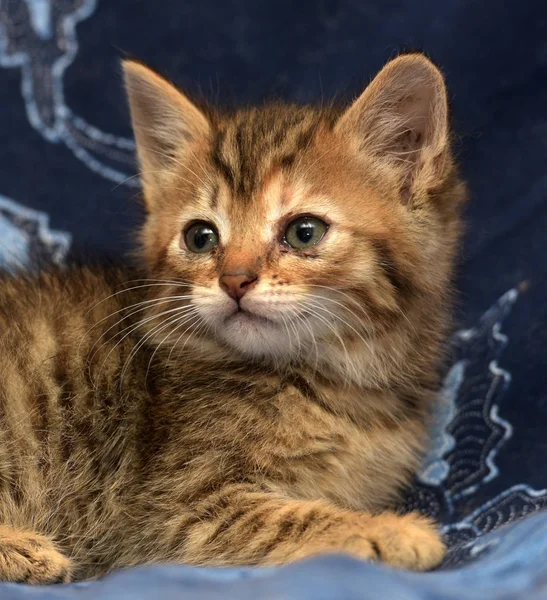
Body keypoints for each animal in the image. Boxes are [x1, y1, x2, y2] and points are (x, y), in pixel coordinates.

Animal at [0, 54, 466, 584]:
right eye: (201, 237)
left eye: (304, 232)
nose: (235, 280)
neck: (338, 381)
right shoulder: (165, 510)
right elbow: (287, 518)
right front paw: (388, 531)